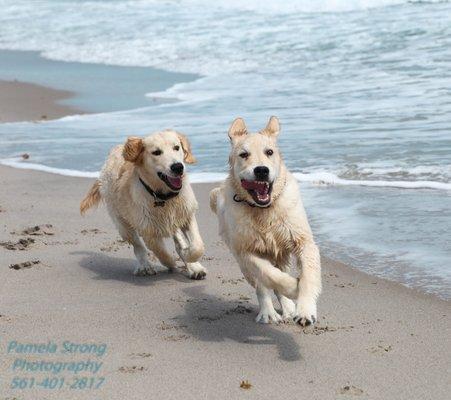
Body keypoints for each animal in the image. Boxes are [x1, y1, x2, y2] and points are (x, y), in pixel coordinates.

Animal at [81, 130, 207, 280]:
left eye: (176, 147)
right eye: (156, 152)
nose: (178, 167)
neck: (162, 197)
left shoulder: (186, 214)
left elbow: (197, 246)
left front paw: (190, 258)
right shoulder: (148, 230)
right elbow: (161, 252)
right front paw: (171, 262)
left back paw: (193, 266)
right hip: (122, 223)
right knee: (138, 246)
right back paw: (145, 266)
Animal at [211, 117, 322, 326]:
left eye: (269, 152)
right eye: (244, 154)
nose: (261, 170)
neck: (264, 210)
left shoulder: (303, 241)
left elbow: (308, 277)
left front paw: (304, 310)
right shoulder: (246, 250)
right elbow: (269, 275)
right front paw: (293, 287)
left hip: (282, 255)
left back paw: (289, 309)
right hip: (242, 262)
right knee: (261, 285)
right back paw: (268, 313)